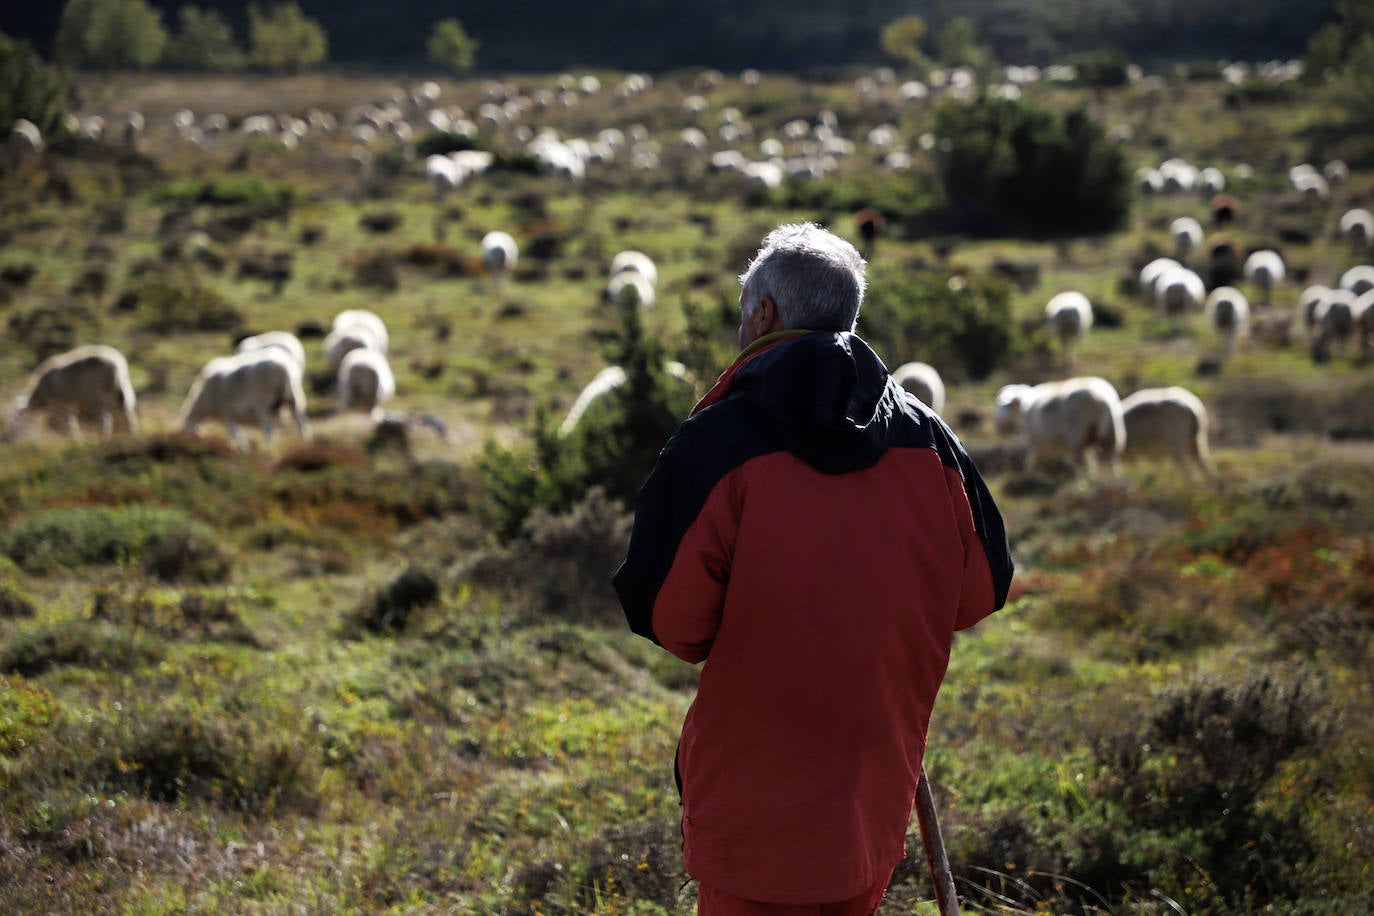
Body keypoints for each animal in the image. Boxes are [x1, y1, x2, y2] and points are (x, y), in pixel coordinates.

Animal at [8, 346, 136, 442]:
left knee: (105, 416)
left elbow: (67, 422)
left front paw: (73, 438)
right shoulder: (70, 404)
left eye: (16, 421)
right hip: (123, 389)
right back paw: (131, 432)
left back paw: (103, 437)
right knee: (127, 411)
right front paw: (77, 438)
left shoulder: (60, 404)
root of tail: (115, 364)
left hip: (95, 394)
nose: (9, 438)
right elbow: (71, 420)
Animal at [179, 347, 309, 450]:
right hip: (294, 398)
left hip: (263, 404)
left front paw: (242, 449)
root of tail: (283, 368)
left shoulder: (226, 413)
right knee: (302, 425)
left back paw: (268, 450)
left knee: (268, 429)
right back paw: (305, 444)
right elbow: (238, 432)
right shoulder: (233, 415)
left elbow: (234, 433)